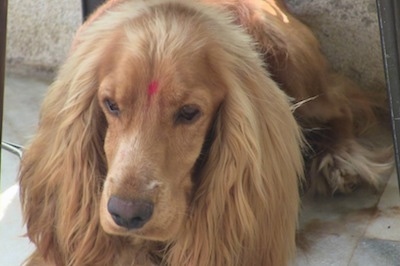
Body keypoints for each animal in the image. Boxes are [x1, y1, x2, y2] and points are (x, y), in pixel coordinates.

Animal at [18, 0, 390, 264]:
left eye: (189, 113)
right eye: (110, 105)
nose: (126, 214)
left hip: (294, 59)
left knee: (341, 104)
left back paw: (340, 161)